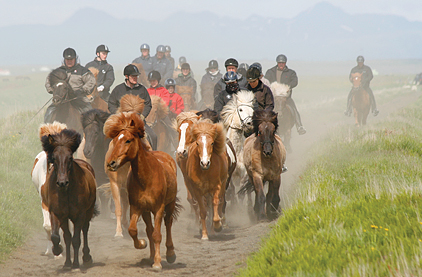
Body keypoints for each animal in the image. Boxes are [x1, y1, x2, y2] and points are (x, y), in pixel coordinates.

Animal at [40, 128, 98, 268]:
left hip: (88, 211)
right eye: (54, 158)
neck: (66, 193)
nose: (62, 182)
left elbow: (76, 239)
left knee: (85, 229)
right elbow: (60, 237)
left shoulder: (80, 214)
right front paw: (60, 254)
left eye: (70, 157)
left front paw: (76, 264)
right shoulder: (58, 213)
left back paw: (86, 257)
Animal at [104, 111, 181, 268]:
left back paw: (170, 254)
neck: (147, 177)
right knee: (149, 229)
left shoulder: (158, 208)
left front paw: (157, 263)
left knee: (168, 223)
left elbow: (157, 234)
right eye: (114, 140)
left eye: (128, 140)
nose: (111, 163)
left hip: (169, 205)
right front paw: (142, 243)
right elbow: (133, 230)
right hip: (146, 211)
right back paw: (151, 256)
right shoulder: (137, 207)